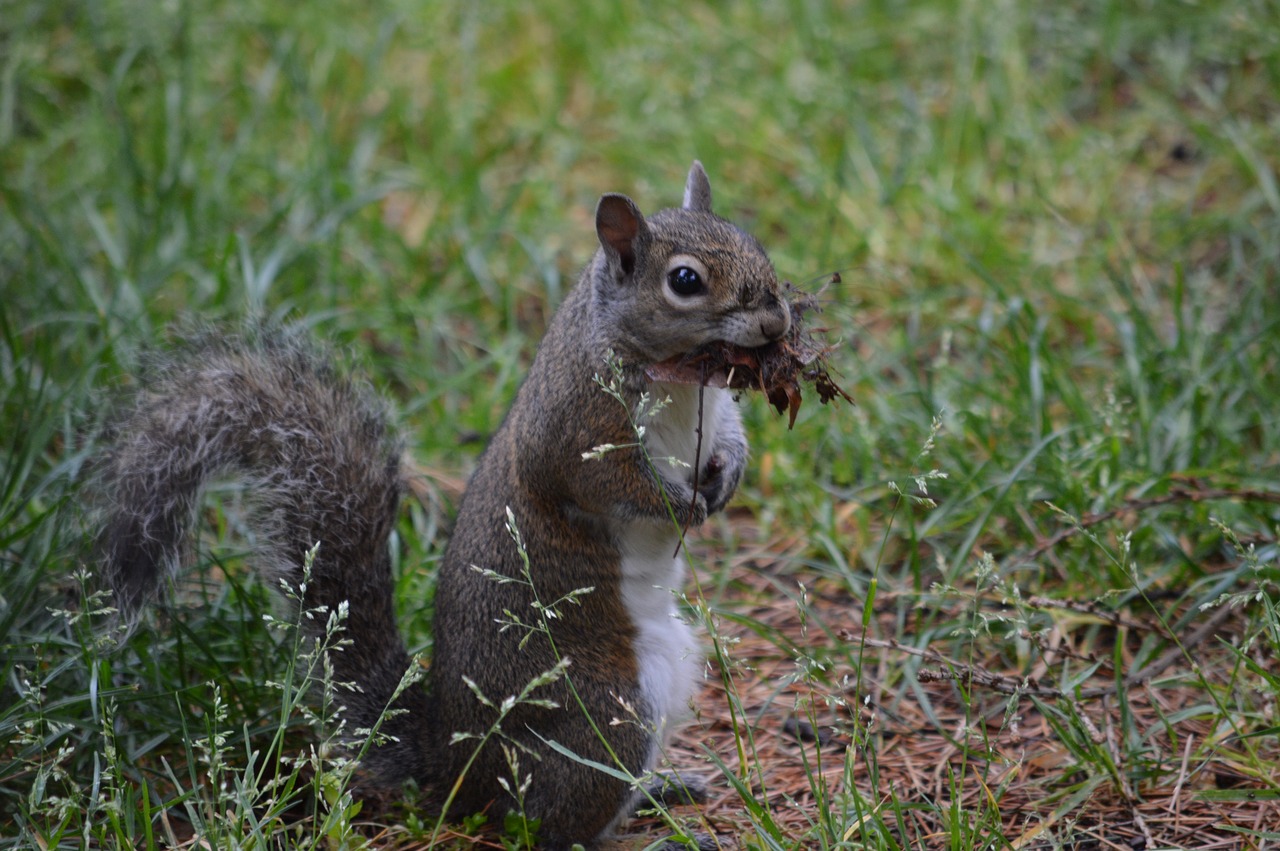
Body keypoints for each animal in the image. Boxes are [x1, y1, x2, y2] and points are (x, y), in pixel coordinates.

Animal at [94, 159, 788, 844]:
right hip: (606, 716)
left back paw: (663, 790)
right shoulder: (577, 423)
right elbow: (607, 482)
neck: (681, 377)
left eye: (752, 242)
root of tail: (456, 769)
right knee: (556, 824)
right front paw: (679, 506)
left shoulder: (713, 404)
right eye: (684, 281)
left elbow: (730, 434)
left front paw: (727, 474)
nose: (777, 323)